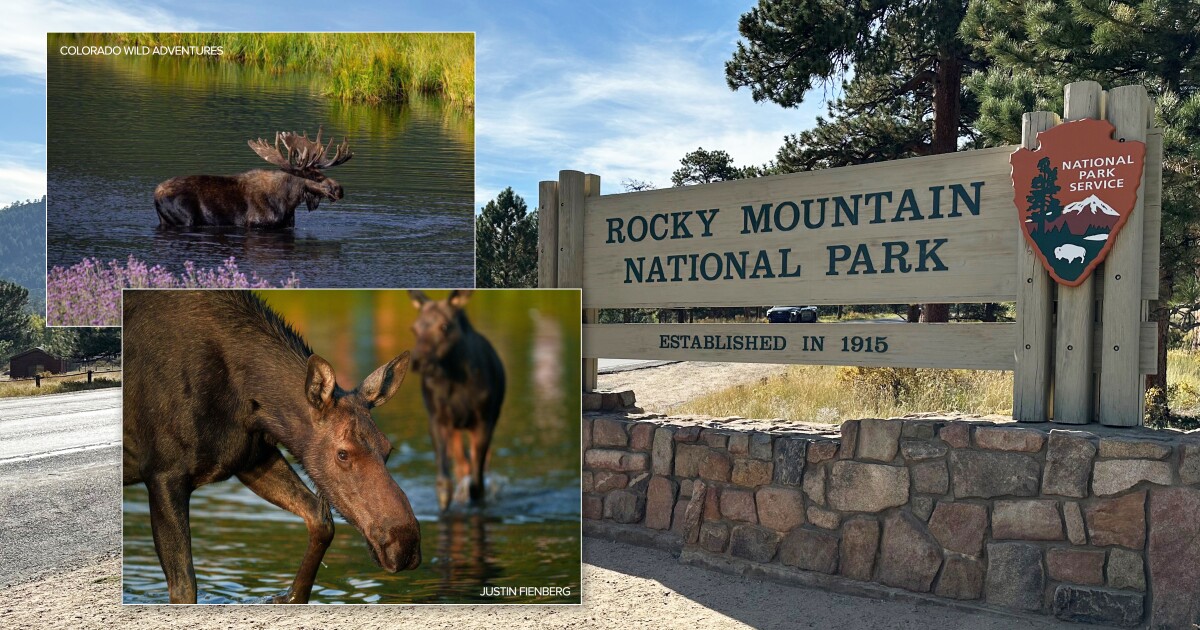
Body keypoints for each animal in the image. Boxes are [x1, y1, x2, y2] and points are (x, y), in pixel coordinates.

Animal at [153, 128, 352, 230]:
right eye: (313, 175)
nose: (339, 189)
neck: (288, 202)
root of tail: (155, 195)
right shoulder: (258, 223)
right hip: (185, 218)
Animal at [409, 290, 506, 512]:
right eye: (414, 328)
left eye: (444, 326)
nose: (418, 361)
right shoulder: (438, 419)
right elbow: (444, 481)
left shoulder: (483, 421)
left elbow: (477, 483)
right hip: (456, 427)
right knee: (461, 464)